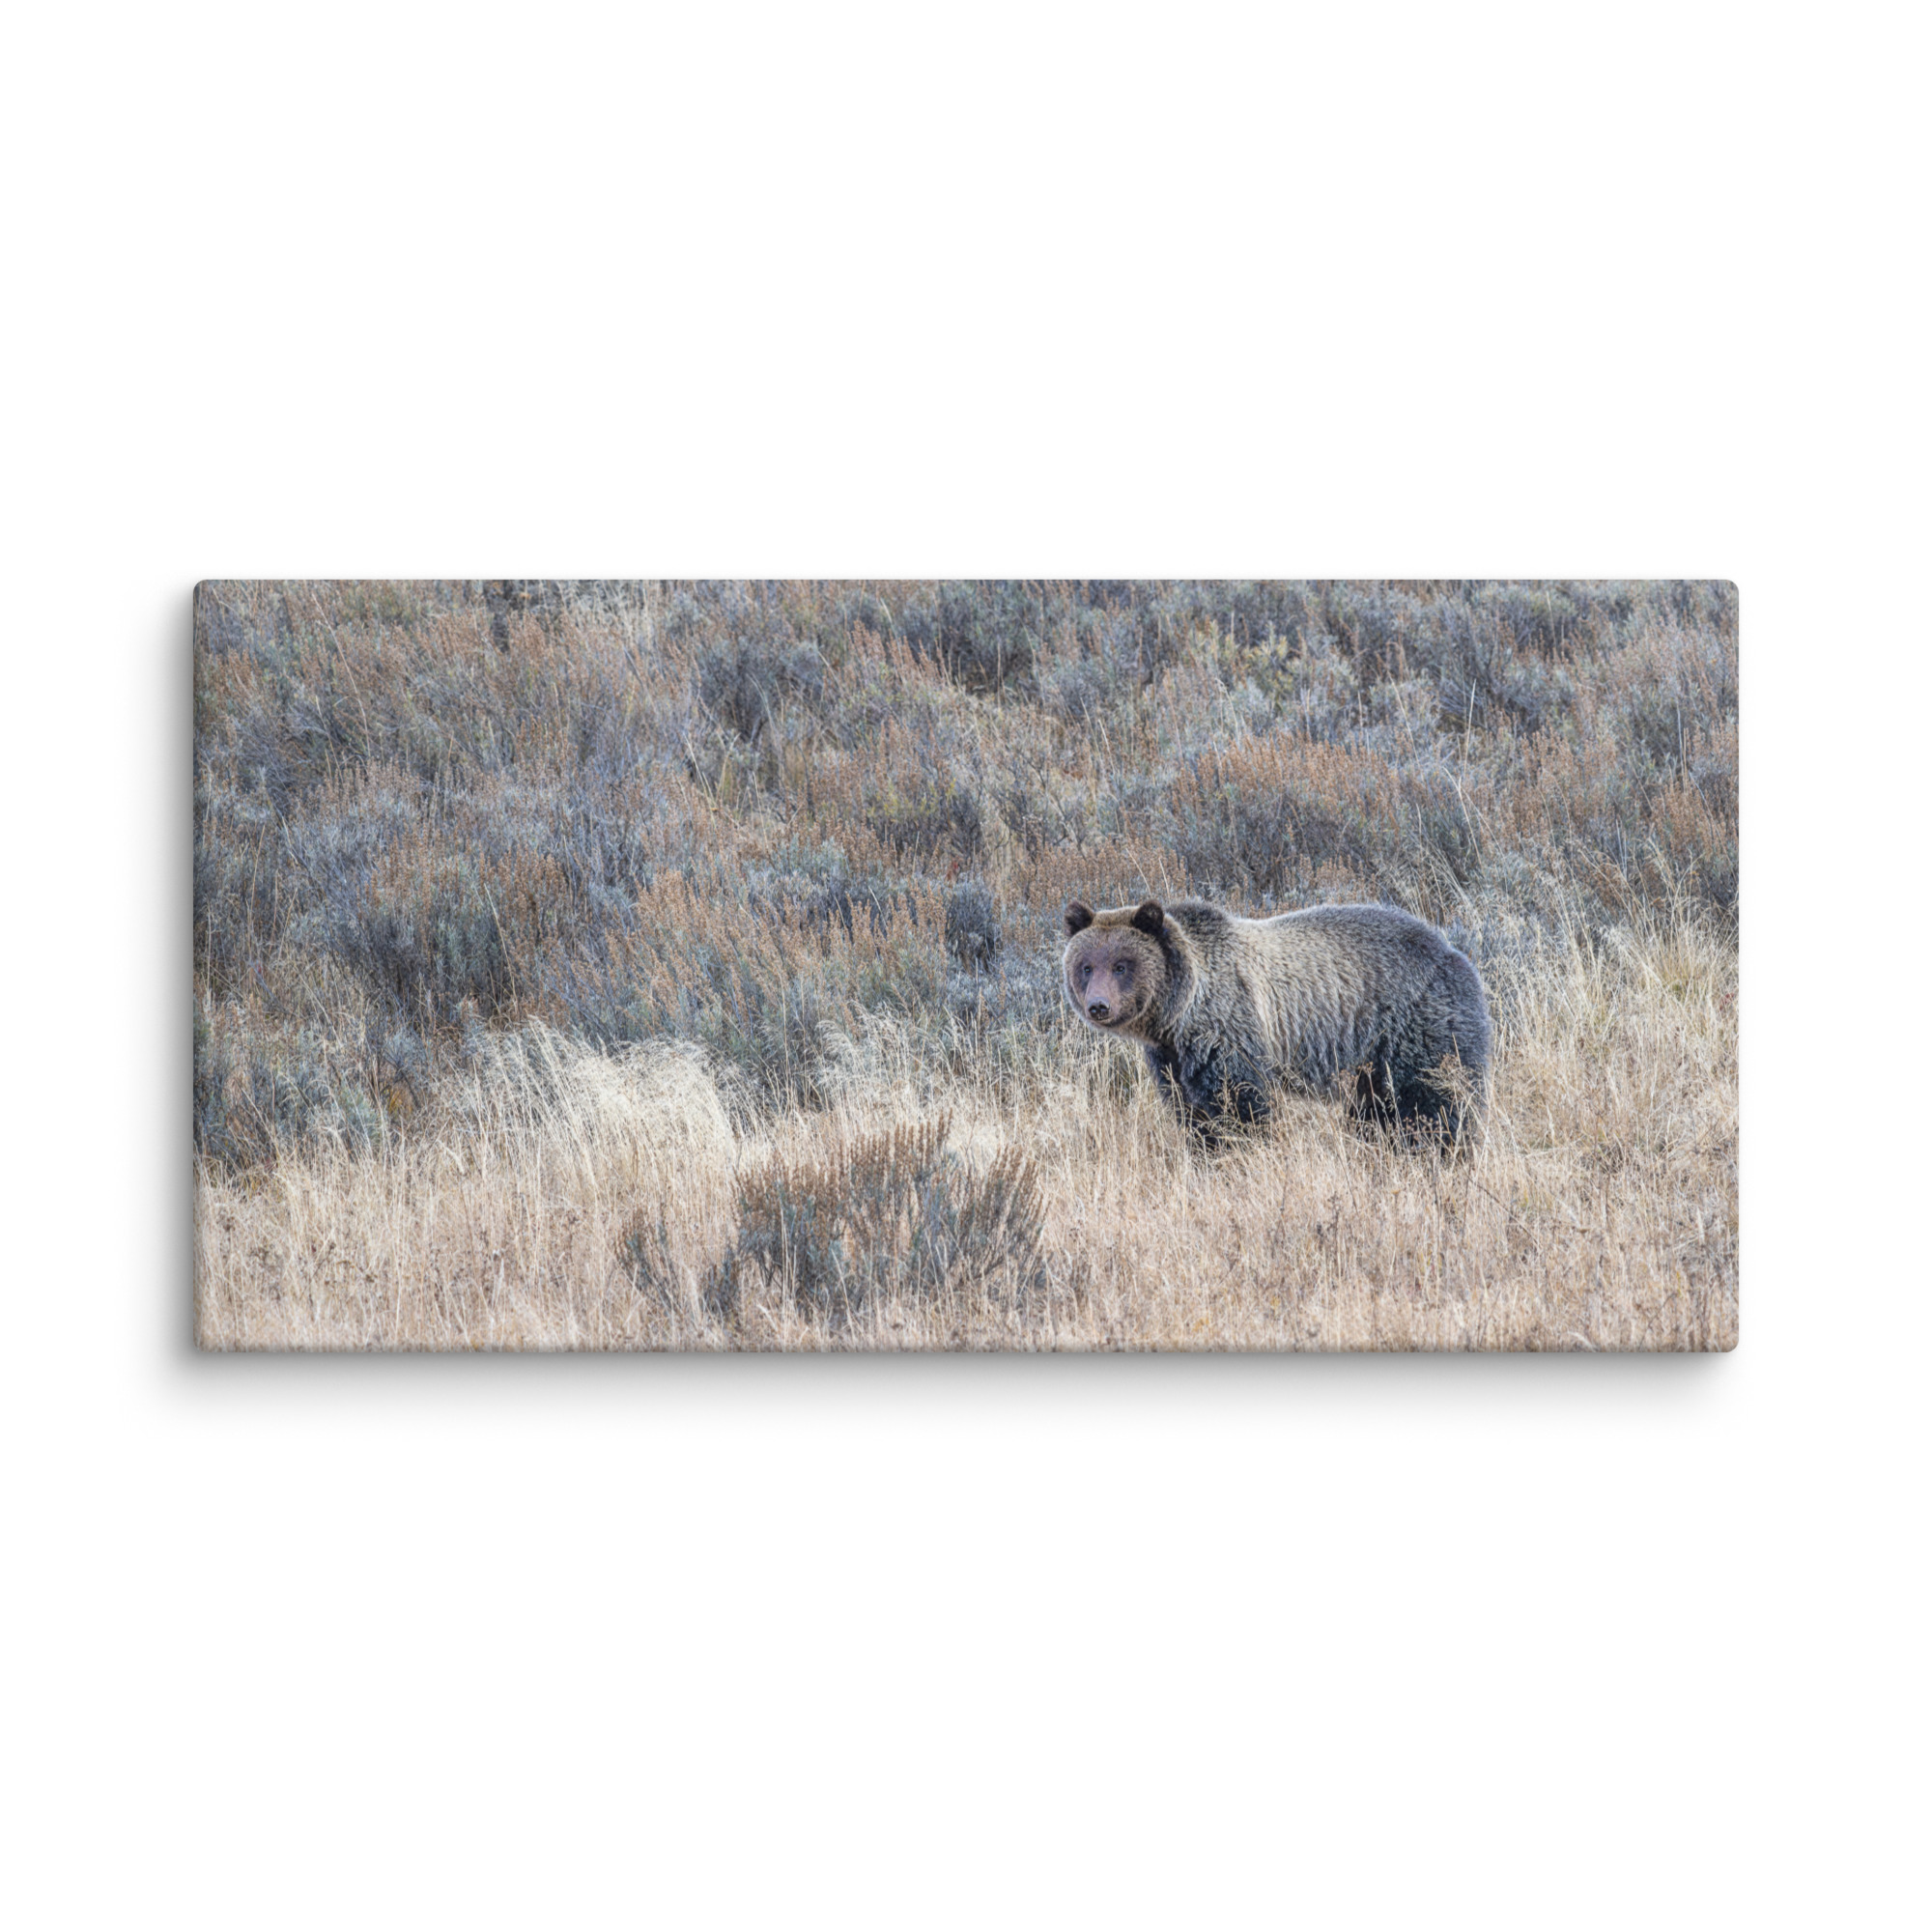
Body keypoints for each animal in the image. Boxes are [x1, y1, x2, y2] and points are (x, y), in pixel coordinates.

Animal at [1061, 896, 1491, 1150]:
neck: (1179, 1015)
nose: (1098, 1006)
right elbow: (1191, 1113)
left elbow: (1241, 1107)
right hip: (1371, 1062)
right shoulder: (1172, 1060)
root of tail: (1454, 952)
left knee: (1434, 1101)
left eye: (1121, 965)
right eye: (1087, 966)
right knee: (1376, 1111)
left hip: (1417, 1026)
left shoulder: (1229, 1031)